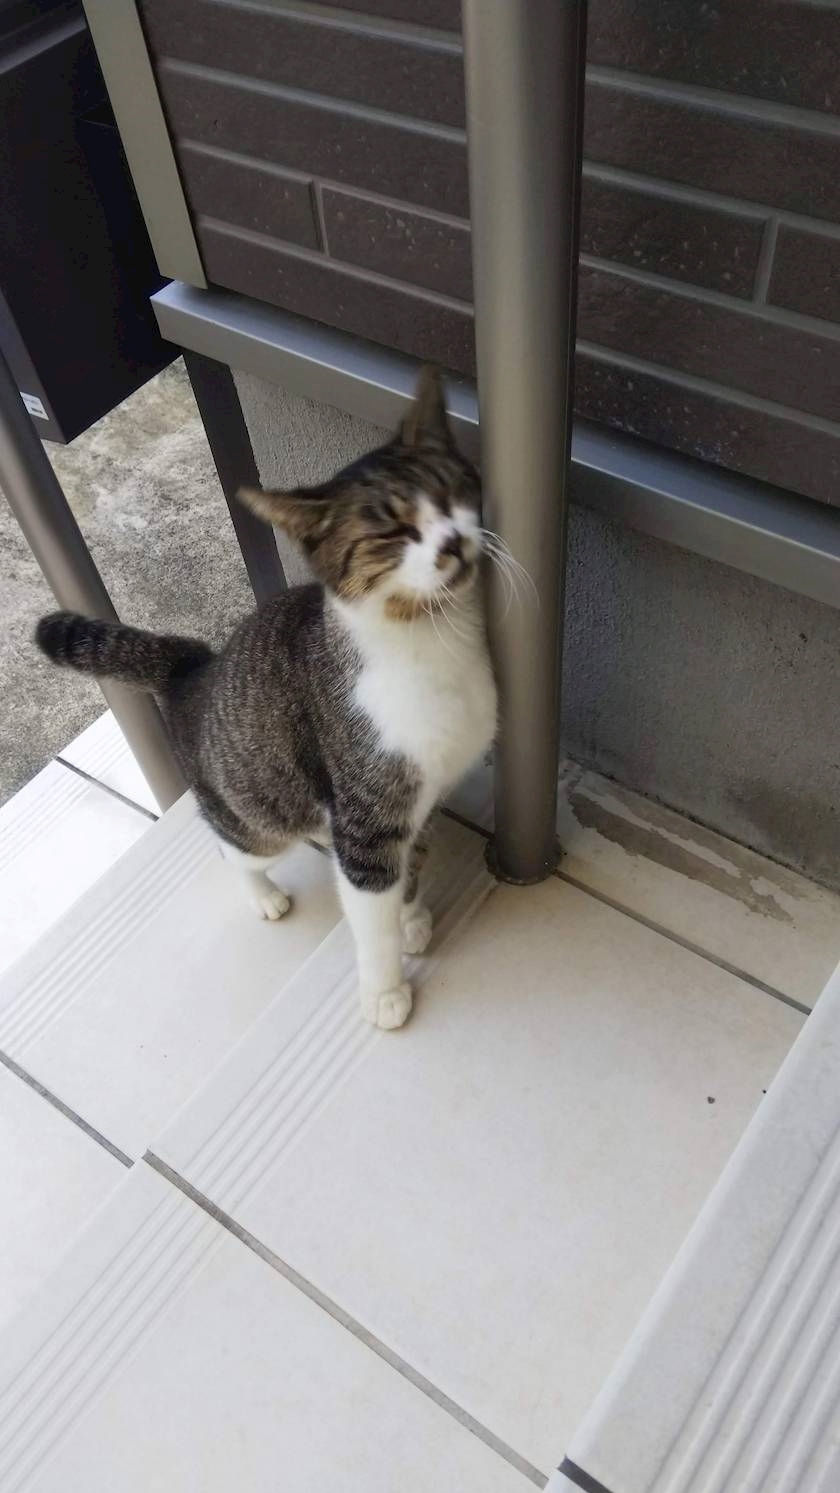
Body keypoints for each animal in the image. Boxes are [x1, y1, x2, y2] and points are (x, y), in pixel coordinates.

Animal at [36, 366, 497, 1031]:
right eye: (391, 528)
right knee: (234, 847)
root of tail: (193, 667)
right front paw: (383, 991)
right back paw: (264, 894)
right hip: (259, 813)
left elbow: (408, 867)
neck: (428, 636)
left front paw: (410, 916)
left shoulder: (422, 800)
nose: (454, 542)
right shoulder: (363, 812)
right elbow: (370, 909)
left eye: (452, 493)